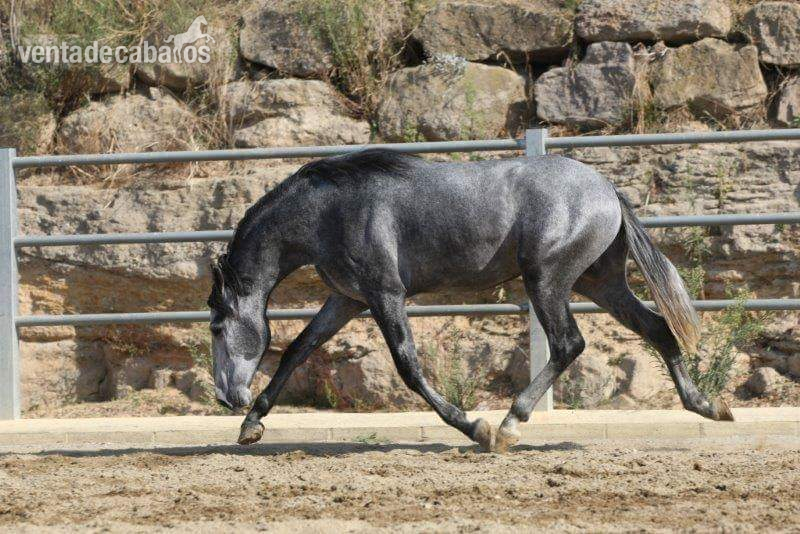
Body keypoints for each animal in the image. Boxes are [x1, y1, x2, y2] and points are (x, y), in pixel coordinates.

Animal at [207, 149, 733, 452]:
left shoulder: (385, 295)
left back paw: (508, 426)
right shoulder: (346, 300)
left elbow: (408, 367)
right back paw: (708, 406)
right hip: (599, 283)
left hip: (548, 280)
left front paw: (473, 426)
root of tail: (606, 189)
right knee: (657, 328)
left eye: (215, 324)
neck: (329, 212)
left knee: (569, 344)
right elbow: (299, 349)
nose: (227, 396)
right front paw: (251, 426)